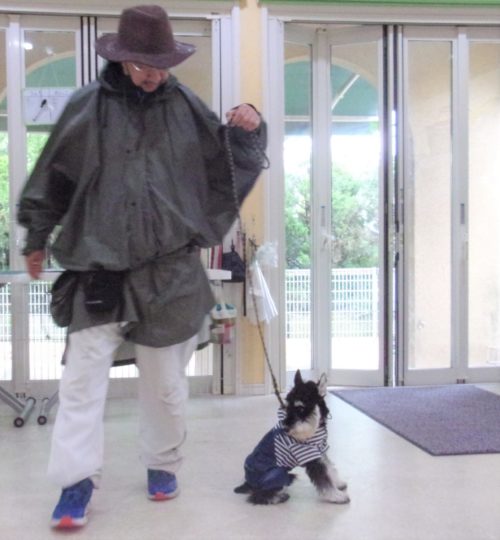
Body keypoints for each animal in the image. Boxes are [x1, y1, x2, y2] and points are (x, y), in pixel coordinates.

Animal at [234, 369, 350, 505]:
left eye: (300, 408)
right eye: (287, 406)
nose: (286, 428)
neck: (315, 428)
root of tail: (248, 481)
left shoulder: (320, 451)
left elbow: (329, 467)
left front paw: (338, 483)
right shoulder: (309, 456)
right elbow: (323, 480)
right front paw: (337, 496)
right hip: (276, 474)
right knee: (258, 495)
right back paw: (278, 497)